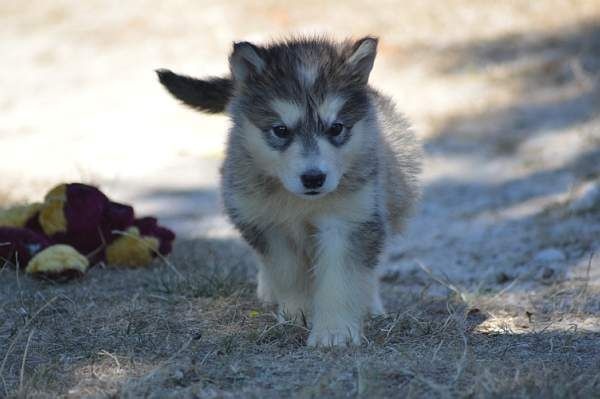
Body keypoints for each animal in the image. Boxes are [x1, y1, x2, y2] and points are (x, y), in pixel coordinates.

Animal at [159, 36, 422, 346]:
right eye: (281, 130)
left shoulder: (349, 220)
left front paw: (335, 331)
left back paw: (370, 304)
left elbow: (342, 279)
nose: (313, 178)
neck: (299, 202)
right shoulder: (267, 224)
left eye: (336, 128)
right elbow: (286, 272)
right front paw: (298, 314)